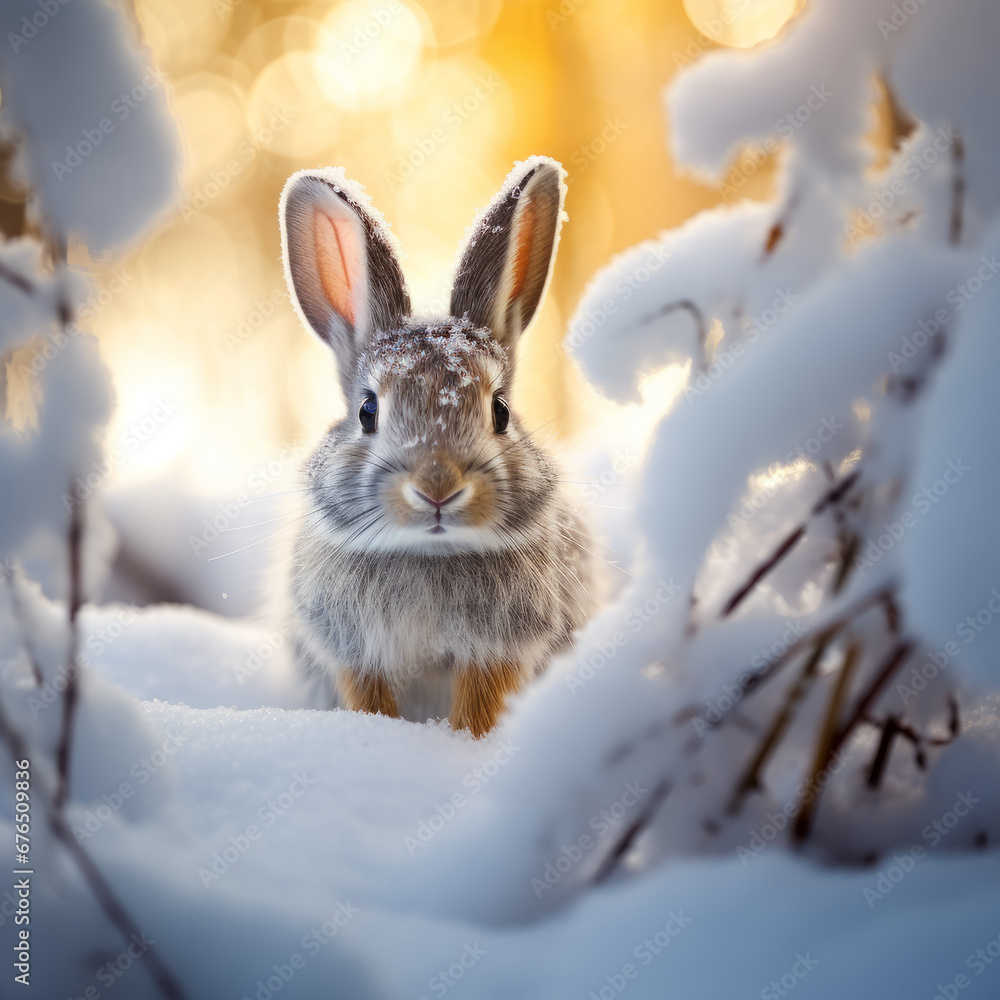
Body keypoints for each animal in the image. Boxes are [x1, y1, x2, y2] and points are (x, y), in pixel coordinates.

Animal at [278, 156, 595, 736]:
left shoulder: (495, 651)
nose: (438, 487)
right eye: (368, 412)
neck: (428, 552)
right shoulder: (354, 655)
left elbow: (479, 706)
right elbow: (370, 700)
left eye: (500, 412)